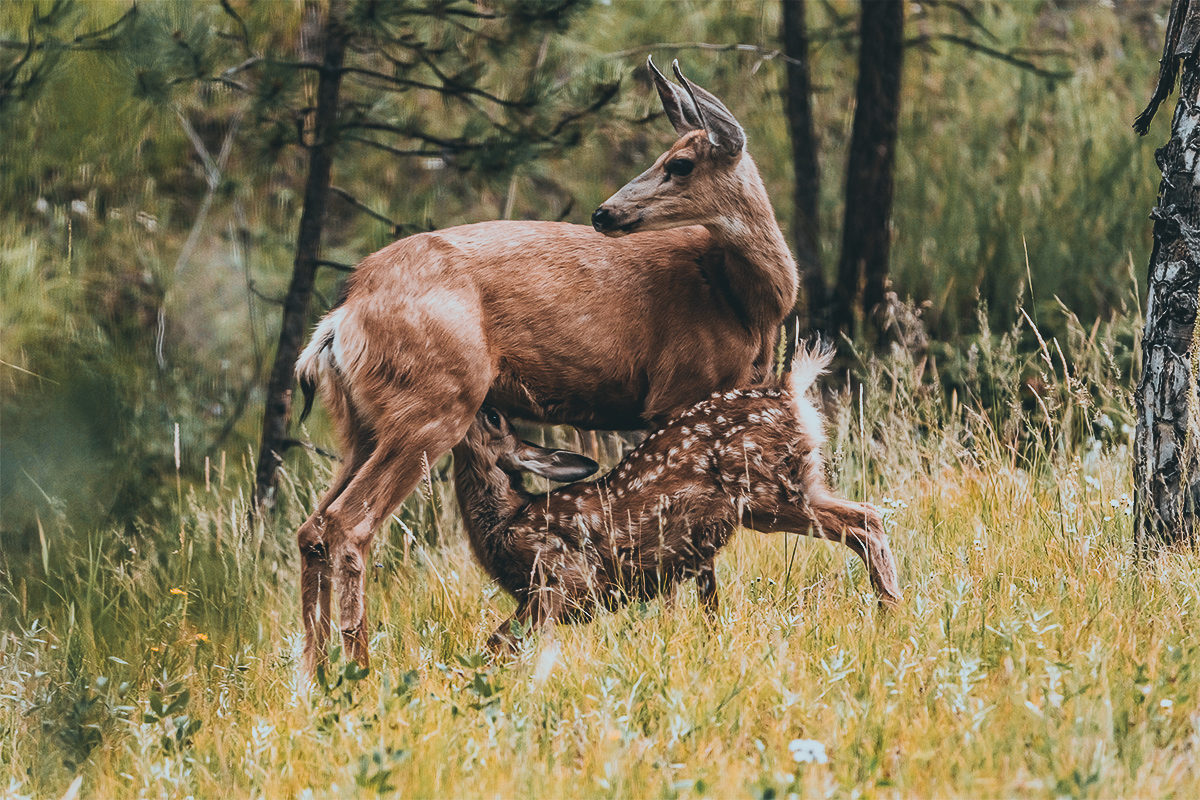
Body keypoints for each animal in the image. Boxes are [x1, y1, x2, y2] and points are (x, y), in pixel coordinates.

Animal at [292, 56, 796, 671]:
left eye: (679, 162)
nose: (604, 212)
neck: (745, 302)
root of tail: (340, 317)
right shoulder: (676, 390)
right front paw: (688, 627)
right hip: (434, 403)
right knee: (349, 523)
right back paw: (358, 667)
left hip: (361, 424)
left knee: (313, 527)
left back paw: (315, 673)